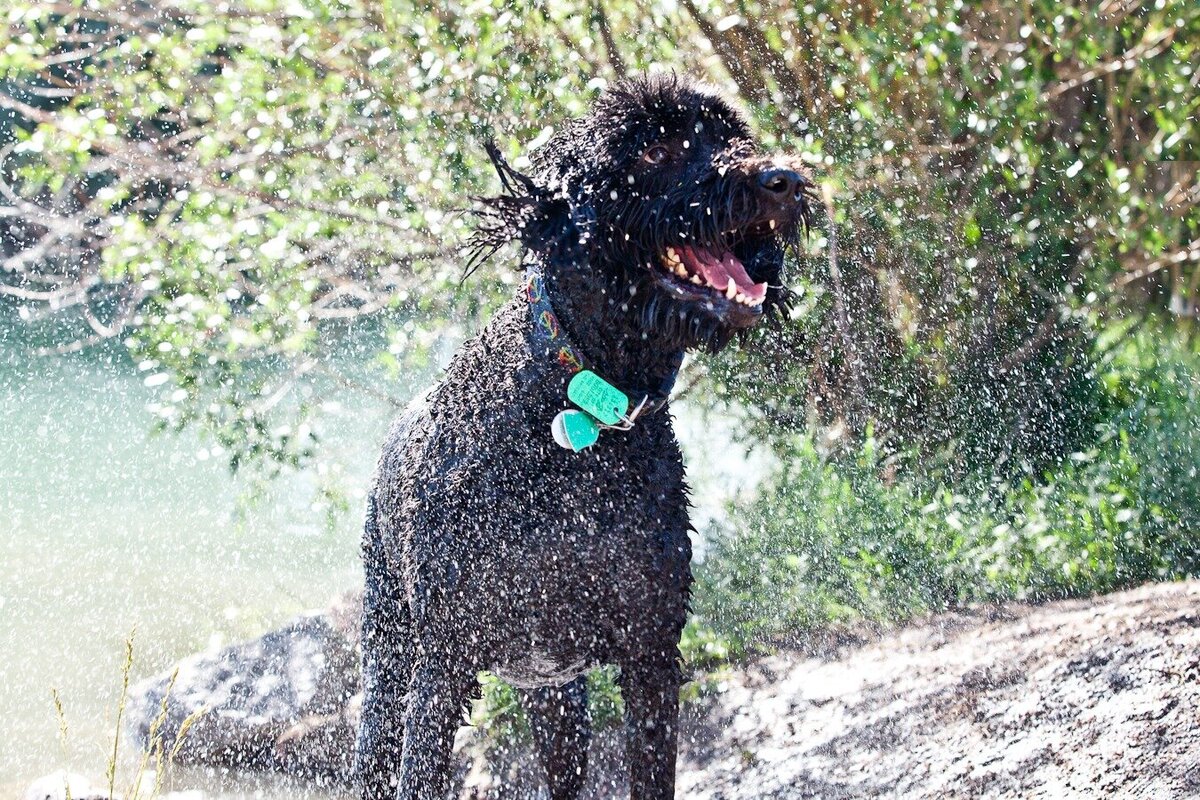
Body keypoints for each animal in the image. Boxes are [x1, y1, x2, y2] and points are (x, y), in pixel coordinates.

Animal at [350, 71, 811, 796]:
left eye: (731, 134)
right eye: (654, 149)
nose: (783, 180)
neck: (586, 407)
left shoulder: (652, 653)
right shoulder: (443, 664)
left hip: (556, 696)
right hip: (391, 653)